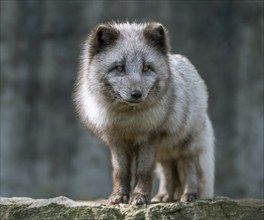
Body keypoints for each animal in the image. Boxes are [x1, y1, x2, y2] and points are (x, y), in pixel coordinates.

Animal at [73, 21, 214, 205]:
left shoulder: (149, 139)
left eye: (146, 67)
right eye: (119, 68)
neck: (129, 121)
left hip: (186, 144)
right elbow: (121, 172)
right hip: (164, 152)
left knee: (189, 167)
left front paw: (139, 197)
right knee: (169, 172)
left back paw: (190, 194)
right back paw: (164, 197)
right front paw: (119, 196)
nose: (136, 94)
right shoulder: (116, 141)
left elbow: (143, 171)